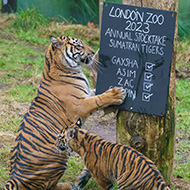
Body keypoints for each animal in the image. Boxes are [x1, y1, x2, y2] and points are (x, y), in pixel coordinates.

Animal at [3, 36, 126, 190]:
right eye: (79, 45)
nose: (93, 52)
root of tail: (14, 177)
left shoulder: (87, 93)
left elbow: (96, 92)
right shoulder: (80, 105)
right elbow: (98, 100)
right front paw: (116, 94)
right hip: (60, 157)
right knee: (48, 186)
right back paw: (70, 185)